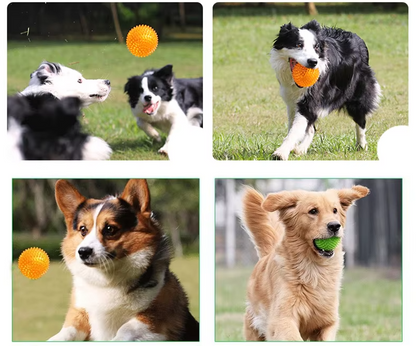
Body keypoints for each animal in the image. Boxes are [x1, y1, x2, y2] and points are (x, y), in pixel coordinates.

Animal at [270, 18, 380, 159]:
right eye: (299, 45)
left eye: (316, 47)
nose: (313, 62)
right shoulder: (292, 101)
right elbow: (296, 126)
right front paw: (292, 148)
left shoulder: (311, 99)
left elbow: (296, 129)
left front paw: (281, 152)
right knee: (311, 128)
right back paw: (301, 149)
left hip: (357, 93)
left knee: (360, 119)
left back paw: (362, 145)